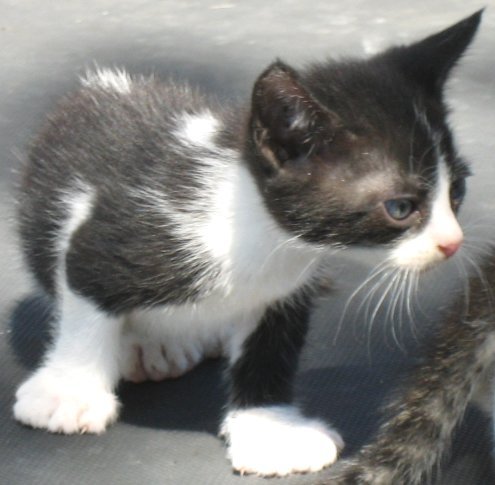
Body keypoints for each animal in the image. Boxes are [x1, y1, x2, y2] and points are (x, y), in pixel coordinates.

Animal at [13, 8, 482, 476]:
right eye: (400, 207)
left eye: (457, 191)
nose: (453, 243)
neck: (257, 227)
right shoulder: (111, 238)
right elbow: (86, 306)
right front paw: (69, 391)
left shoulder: (284, 290)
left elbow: (269, 349)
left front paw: (272, 430)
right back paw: (148, 347)